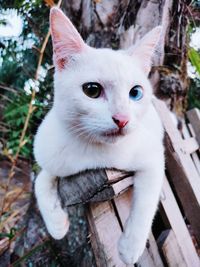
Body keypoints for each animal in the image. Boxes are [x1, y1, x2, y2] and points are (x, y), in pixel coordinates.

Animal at [34, 7, 164, 266]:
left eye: (136, 93)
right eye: (92, 90)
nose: (122, 119)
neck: (94, 152)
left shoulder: (154, 157)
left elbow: (146, 201)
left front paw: (129, 248)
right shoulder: (50, 154)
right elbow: (40, 181)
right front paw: (56, 225)